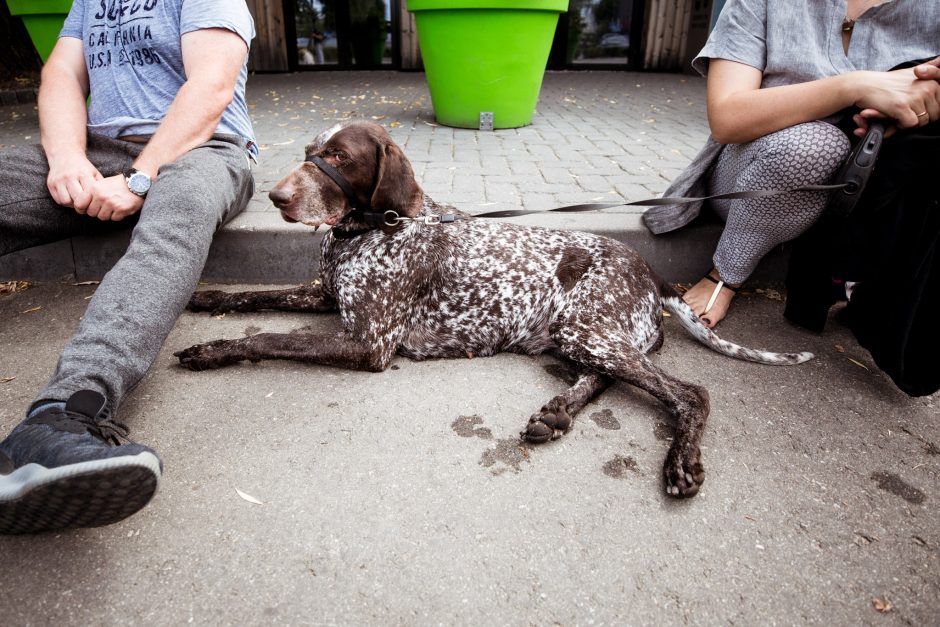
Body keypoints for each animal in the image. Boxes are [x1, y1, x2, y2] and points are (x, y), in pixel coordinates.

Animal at [178, 120, 816, 498]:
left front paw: (212, 349)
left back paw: (681, 460)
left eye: (337, 155)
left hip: (587, 329)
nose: (276, 197)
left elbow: (264, 338)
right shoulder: (324, 294)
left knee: (687, 392)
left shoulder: (369, 342)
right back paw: (557, 413)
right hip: (578, 335)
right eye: (310, 153)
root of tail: (650, 270)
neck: (370, 230)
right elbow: (254, 299)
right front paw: (205, 299)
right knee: (608, 378)